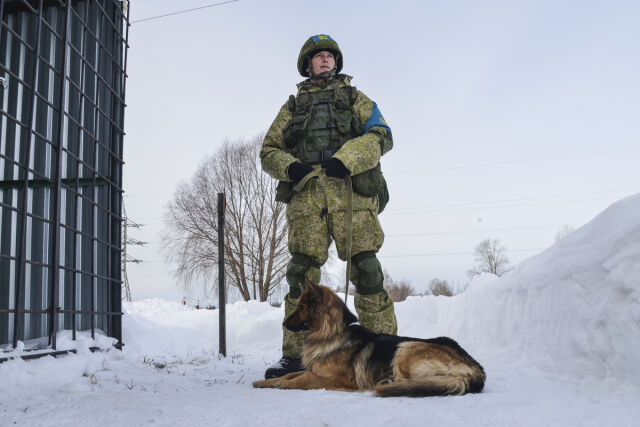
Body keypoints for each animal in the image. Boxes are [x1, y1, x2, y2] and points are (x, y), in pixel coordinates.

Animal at [252, 280, 482, 398]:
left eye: (301, 307)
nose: (284, 324)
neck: (333, 332)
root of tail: (476, 369)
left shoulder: (335, 378)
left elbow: (299, 379)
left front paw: (282, 384)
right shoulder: (315, 369)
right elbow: (291, 375)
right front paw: (265, 382)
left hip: (406, 346)